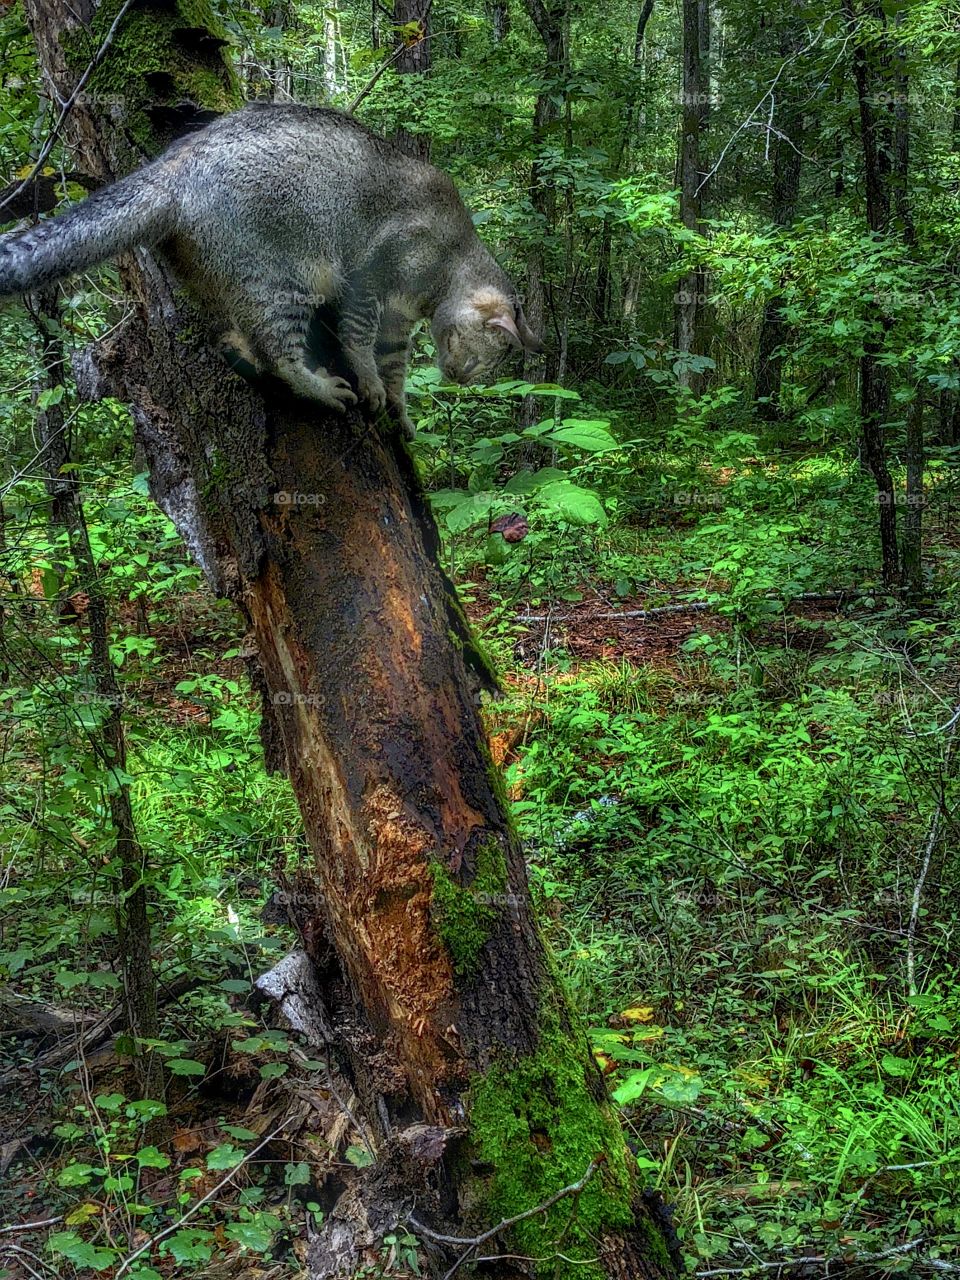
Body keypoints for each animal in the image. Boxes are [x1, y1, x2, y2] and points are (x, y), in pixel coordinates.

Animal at [0, 104, 542, 435]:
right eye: (479, 357)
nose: (460, 379)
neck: (449, 263)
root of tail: (175, 168)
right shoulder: (370, 280)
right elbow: (360, 342)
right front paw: (369, 383)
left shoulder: (397, 321)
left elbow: (394, 369)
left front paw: (401, 412)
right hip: (288, 280)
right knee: (279, 354)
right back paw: (319, 388)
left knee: (238, 336)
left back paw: (240, 354)